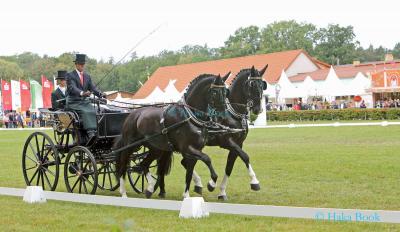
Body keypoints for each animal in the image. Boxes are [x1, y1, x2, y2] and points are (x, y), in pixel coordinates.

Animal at [185, 65, 268, 199]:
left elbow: (229, 167)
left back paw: (198, 184)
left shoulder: (238, 145)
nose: (257, 109)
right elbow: (245, 156)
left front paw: (222, 192)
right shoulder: (228, 142)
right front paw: (254, 182)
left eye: (263, 84)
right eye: (251, 84)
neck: (233, 113)